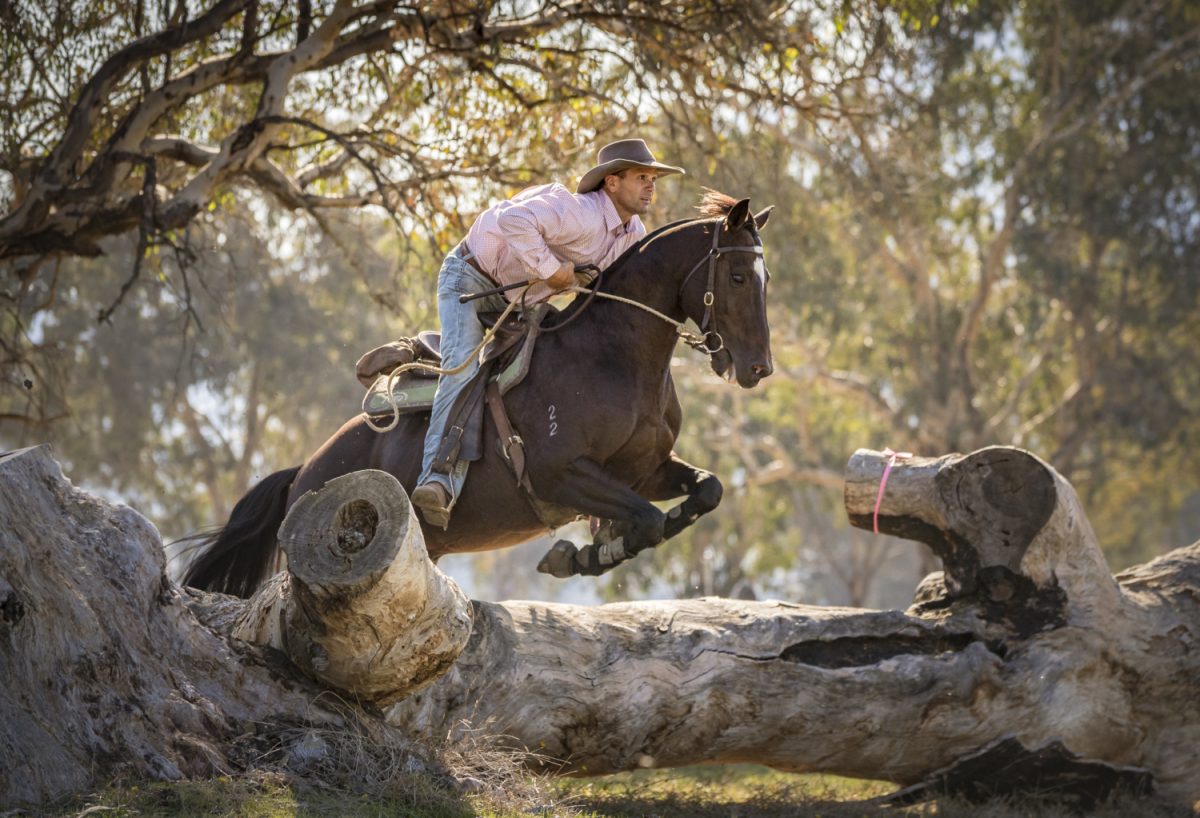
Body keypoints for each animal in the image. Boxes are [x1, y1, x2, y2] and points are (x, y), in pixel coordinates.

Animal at [182, 194, 772, 594]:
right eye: (739, 276)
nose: (757, 368)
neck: (613, 356)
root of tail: (304, 471)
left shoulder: (643, 470)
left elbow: (708, 491)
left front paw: (590, 551)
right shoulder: (562, 474)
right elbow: (646, 520)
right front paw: (585, 555)